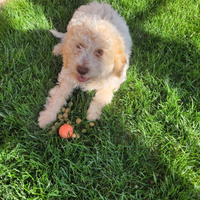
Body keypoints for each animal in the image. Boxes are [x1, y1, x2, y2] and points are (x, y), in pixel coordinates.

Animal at [38, 0, 132, 128]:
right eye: (79, 46)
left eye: (100, 52)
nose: (81, 70)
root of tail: (100, 3)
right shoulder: (67, 74)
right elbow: (58, 94)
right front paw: (46, 117)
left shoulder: (115, 79)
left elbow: (102, 96)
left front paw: (92, 114)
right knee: (65, 40)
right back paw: (58, 49)